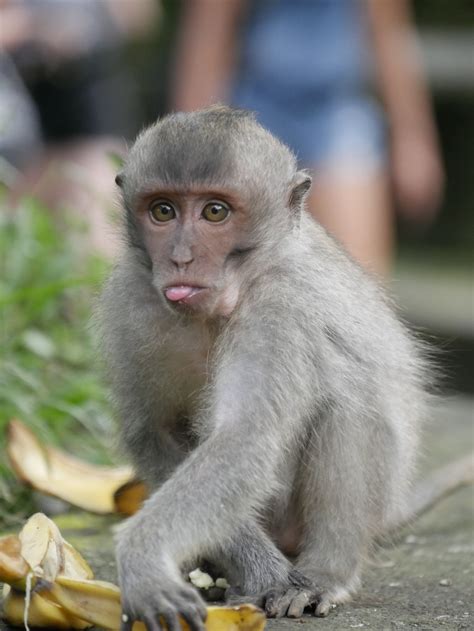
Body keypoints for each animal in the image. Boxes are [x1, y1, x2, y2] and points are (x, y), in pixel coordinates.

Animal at [98, 106, 438, 628]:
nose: (180, 257)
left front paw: (142, 555)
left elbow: (247, 438)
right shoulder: (133, 301)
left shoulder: (281, 306)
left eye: (215, 212)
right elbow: (154, 430)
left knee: (347, 402)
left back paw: (325, 572)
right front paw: (260, 572)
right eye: (163, 211)